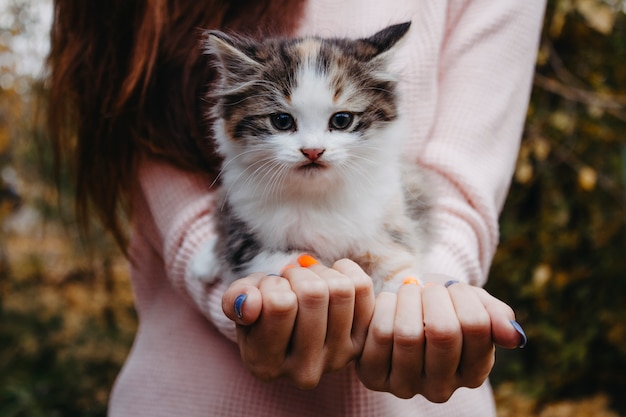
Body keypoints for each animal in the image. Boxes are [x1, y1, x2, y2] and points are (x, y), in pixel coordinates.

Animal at [193, 21, 432, 290]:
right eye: (282, 121)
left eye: (341, 120)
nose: (313, 151)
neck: (316, 194)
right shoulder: (245, 234)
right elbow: (276, 259)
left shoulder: (389, 220)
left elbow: (398, 266)